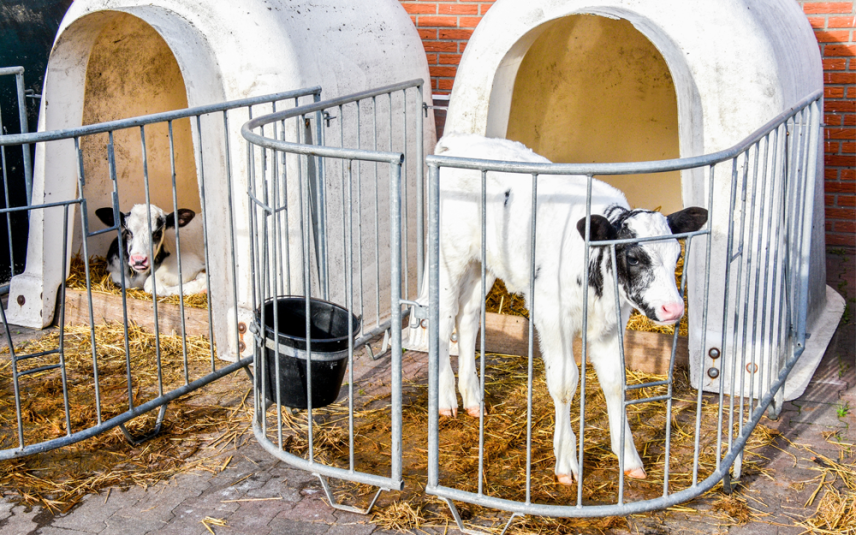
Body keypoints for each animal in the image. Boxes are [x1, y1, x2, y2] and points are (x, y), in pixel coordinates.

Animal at [432, 135, 704, 486]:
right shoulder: (551, 317)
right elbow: (564, 383)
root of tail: (463, 141)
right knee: (442, 320)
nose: (674, 308)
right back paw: (446, 400)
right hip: (450, 260)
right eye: (633, 257)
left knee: (467, 318)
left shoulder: (610, 325)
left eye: (676, 255)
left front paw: (629, 457)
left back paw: (473, 400)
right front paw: (566, 462)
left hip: (484, 265)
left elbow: (615, 381)